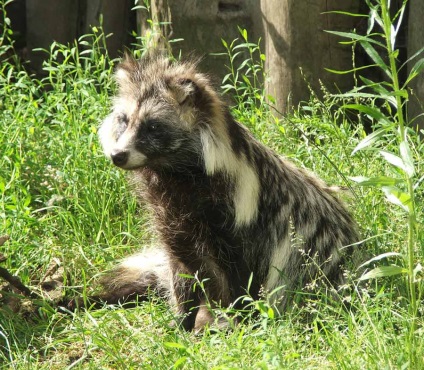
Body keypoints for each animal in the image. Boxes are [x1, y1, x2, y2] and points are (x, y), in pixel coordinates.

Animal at [97, 52, 360, 330]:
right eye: (124, 120)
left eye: (154, 127)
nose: (118, 155)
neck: (176, 175)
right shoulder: (172, 218)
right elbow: (182, 267)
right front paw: (182, 319)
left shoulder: (243, 217)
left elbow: (243, 274)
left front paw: (233, 318)